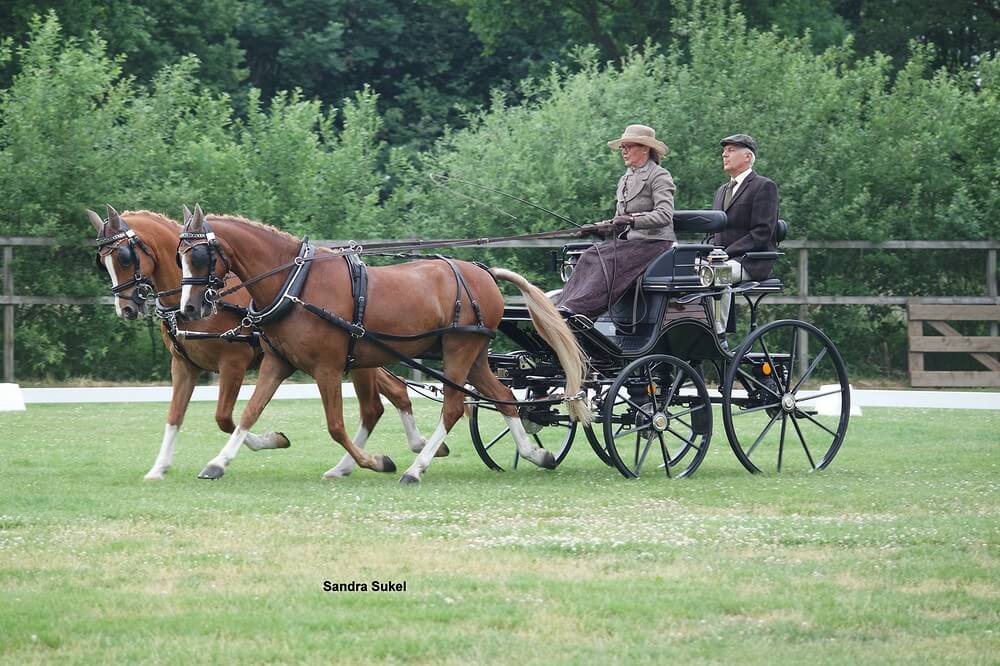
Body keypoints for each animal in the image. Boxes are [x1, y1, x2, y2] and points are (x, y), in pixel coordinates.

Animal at [90, 205, 438, 480]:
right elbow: (176, 416)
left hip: (361, 360)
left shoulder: (233, 362)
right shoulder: (184, 365)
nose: (126, 308)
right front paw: (159, 468)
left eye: (123, 257)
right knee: (390, 396)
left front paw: (269, 441)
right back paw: (411, 448)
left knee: (379, 403)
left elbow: (225, 418)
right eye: (102, 261)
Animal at [176, 205, 590, 484]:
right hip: (474, 356)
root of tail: (484, 272)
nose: (190, 308)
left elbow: (336, 426)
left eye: (199, 254)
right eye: (179, 257)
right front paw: (218, 463)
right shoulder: (278, 363)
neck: (296, 283)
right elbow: (249, 413)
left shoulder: (327, 368)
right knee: (502, 396)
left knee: (455, 407)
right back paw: (535, 453)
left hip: (458, 350)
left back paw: (416, 468)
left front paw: (375, 461)